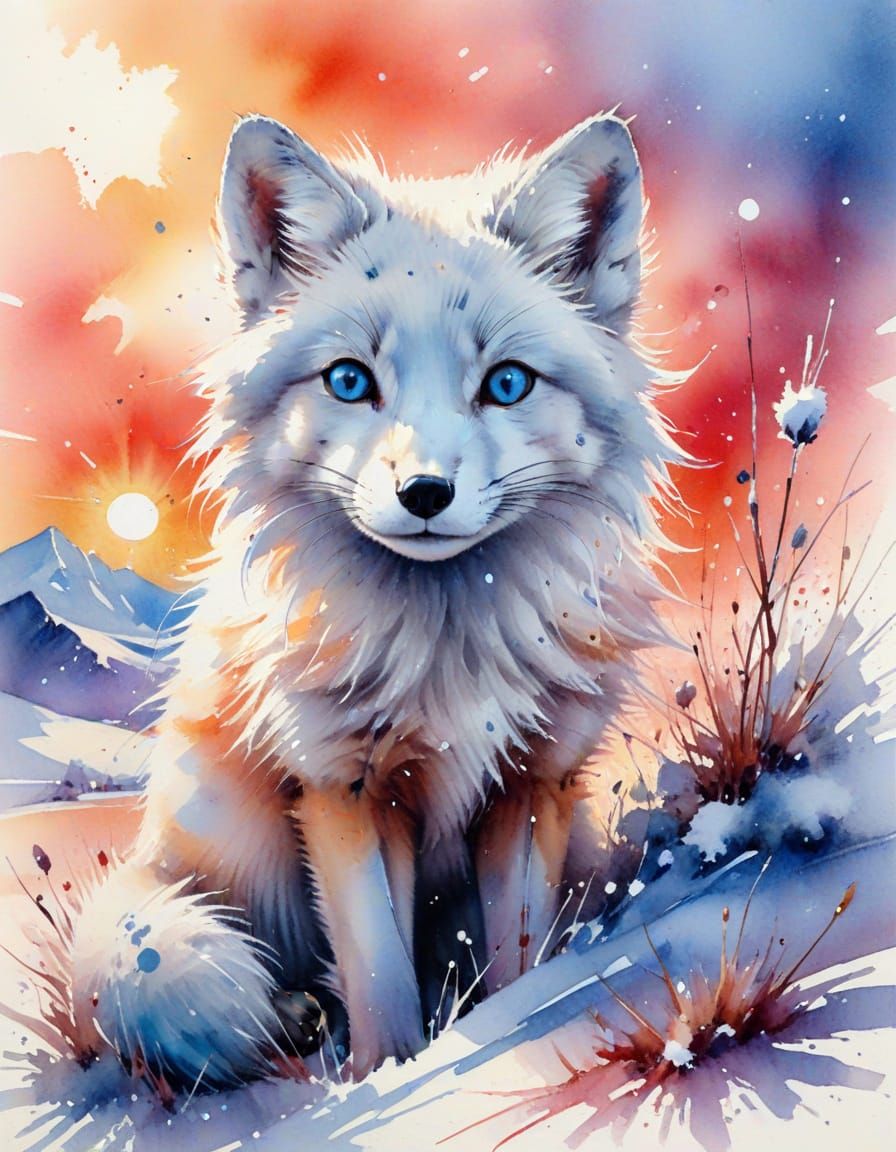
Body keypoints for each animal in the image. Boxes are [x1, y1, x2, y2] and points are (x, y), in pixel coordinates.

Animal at [66, 110, 679, 1090]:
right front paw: (385, 1077)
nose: (424, 493)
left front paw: (510, 1033)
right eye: (350, 381)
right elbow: (380, 974)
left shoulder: (528, 785)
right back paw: (293, 1018)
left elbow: (521, 964)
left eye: (507, 383)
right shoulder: (341, 790)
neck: (448, 654)